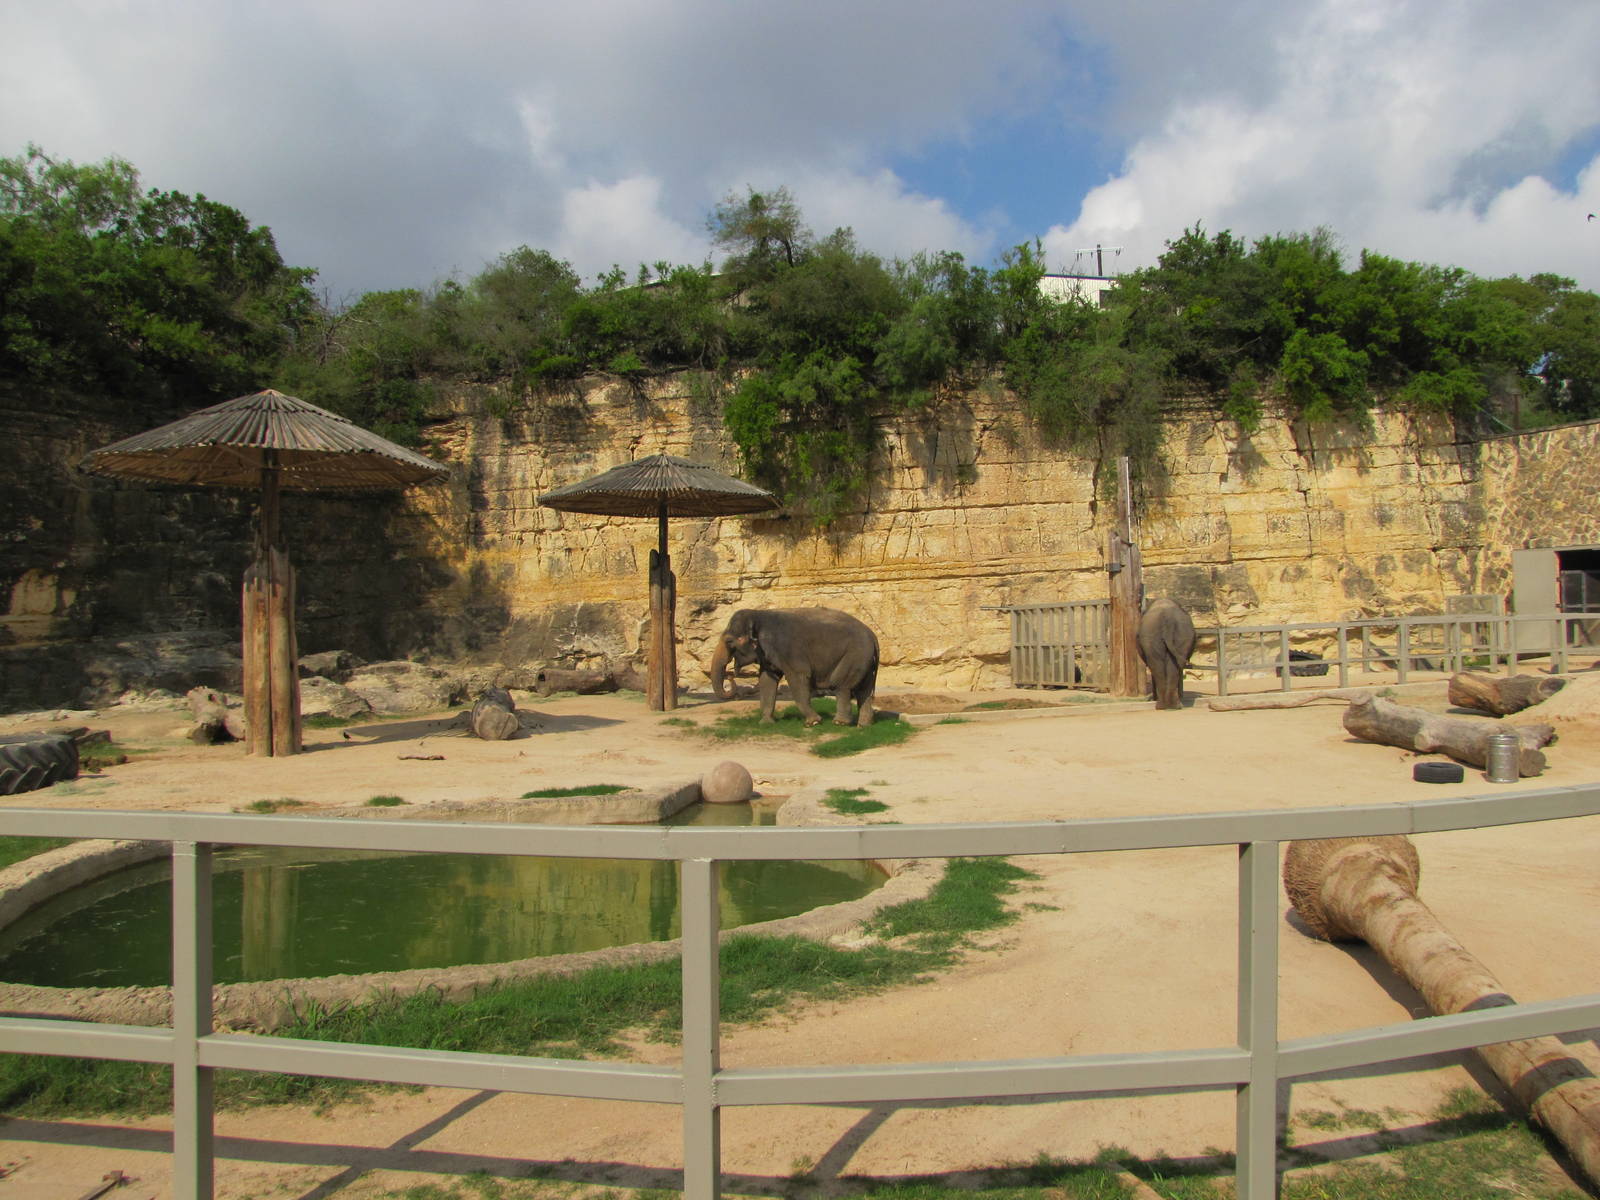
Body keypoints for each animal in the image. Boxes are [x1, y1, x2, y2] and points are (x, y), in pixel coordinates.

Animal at [709, 607, 879, 727]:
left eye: (729, 641)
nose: (730, 675)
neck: (759, 614)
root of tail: (873, 637)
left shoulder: (788, 649)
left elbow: (798, 677)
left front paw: (813, 722)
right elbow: (766, 680)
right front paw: (765, 723)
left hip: (855, 655)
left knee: (841, 685)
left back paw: (840, 723)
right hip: (865, 661)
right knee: (864, 691)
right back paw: (864, 725)